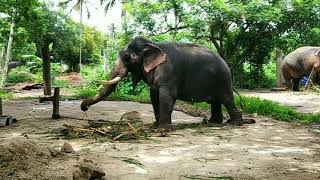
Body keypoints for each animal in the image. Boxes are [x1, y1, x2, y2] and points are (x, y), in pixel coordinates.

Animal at [81, 37, 244, 129]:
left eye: (126, 58)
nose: (84, 108)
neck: (152, 45)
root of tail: (226, 64)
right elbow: (154, 97)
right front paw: (156, 125)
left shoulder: (169, 73)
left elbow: (166, 96)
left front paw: (163, 129)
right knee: (216, 101)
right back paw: (213, 123)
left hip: (223, 80)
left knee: (227, 99)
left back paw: (234, 124)